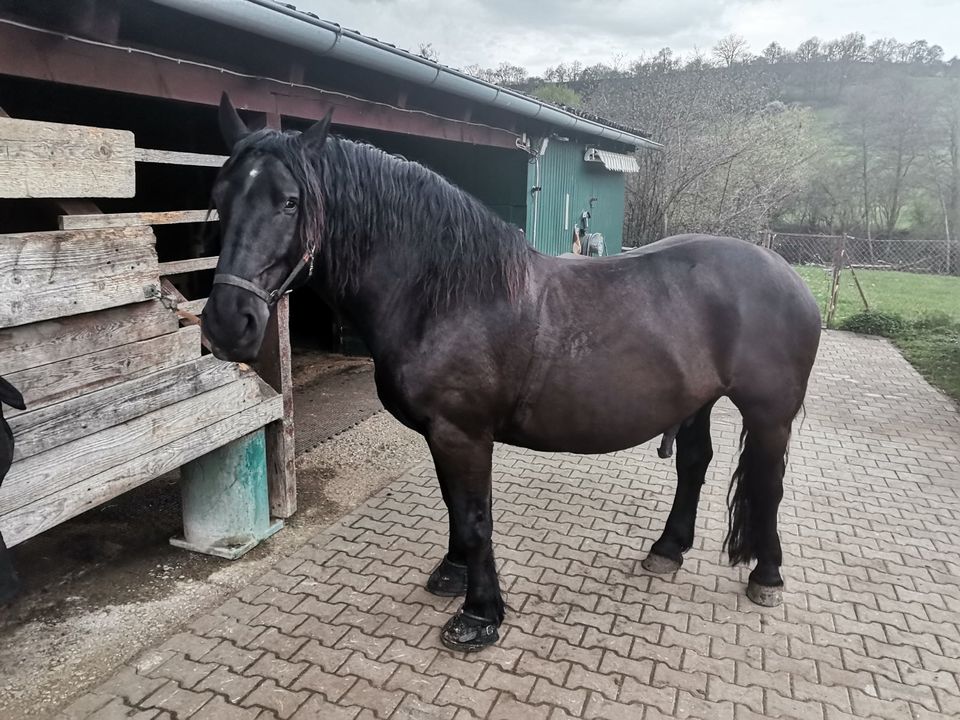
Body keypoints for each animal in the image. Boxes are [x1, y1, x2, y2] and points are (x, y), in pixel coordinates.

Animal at [206, 95, 820, 652]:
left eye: (289, 201)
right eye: (219, 198)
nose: (227, 323)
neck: (444, 297)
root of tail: (786, 274)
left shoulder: (463, 434)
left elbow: (476, 518)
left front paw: (479, 616)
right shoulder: (443, 436)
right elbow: (455, 508)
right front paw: (452, 575)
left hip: (769, 415)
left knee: (769, 484)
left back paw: (766, 576)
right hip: (698, 400)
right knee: (694, 465)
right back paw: (667, 550)